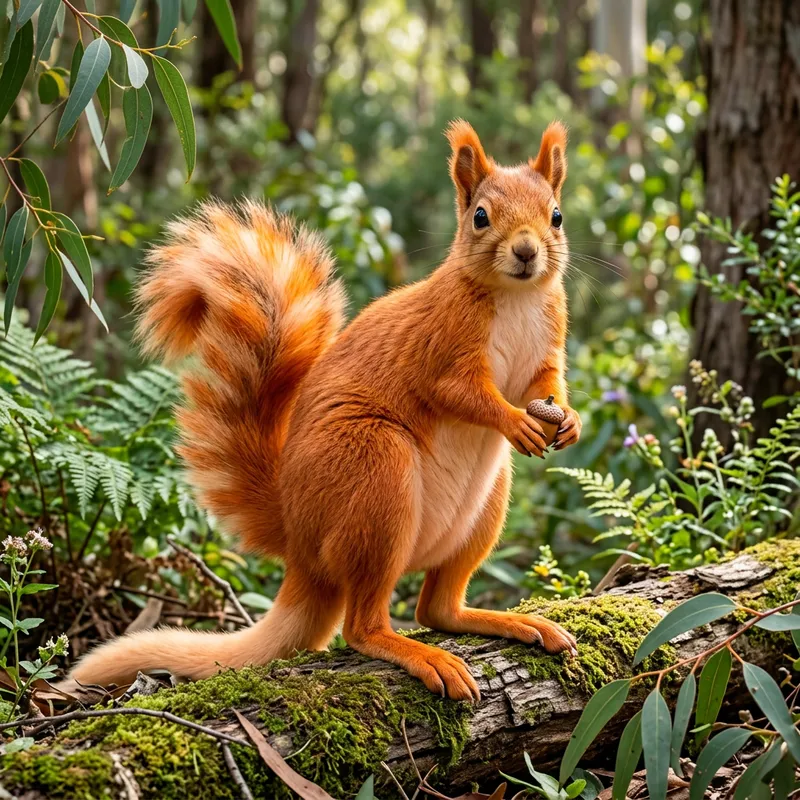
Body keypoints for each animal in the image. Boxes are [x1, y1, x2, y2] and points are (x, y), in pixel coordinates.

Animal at [70, 120, 581, 701]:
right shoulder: (441, 346)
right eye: (480, 216)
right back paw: (418, 653)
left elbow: (548, 385)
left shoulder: (547, 347)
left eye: (556, 215)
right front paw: (514, 421)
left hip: (484, 505)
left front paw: (568, 420)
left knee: (437, 608)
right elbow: (459, 392)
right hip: (375, 469)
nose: (526, 252)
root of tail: (300, 549)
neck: (515, 297)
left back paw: (509, 622)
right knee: (363, 625)